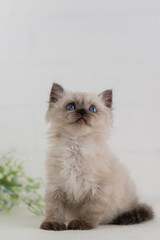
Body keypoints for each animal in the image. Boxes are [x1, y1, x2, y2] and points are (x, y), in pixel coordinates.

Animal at [40, 83, 152, 231]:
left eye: (92, 109)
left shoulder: (98, 190)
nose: (82, 111)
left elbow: (90, 211)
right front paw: (53, 224)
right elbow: (54, 209)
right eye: (71, 106)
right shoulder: (56, 187)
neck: (76, 147)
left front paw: (81, 224)